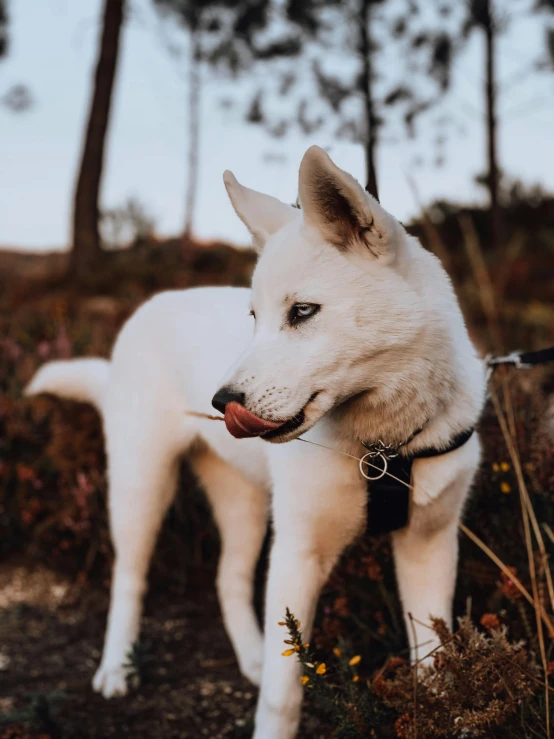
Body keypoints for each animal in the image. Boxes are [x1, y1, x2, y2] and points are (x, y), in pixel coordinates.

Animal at [27, 146, 484, 739]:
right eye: (253, 317)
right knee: (128, 578)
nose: (221, 402)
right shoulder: (299, 551)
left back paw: (251, 657)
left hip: (241, 501)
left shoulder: (429, 546)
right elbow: (283, 696)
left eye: (302, 311)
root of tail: (147, 308)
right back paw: (116, 668)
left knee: (228, 579)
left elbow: (435, 669)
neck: (384, 449)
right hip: (141, 487)